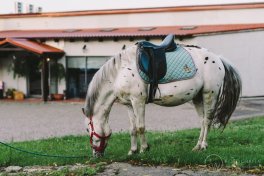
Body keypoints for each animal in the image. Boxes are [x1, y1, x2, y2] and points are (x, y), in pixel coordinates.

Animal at [82, 38, 241, 157]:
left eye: (88, 130)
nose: (96, 155)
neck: (120, 72)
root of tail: (218, 58)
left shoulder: (138, 101)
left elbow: (140, 127)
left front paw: (144, 149)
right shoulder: (128, 104)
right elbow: (132, 128)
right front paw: (132, 151)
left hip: (209, 94)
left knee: (207, 121)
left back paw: (203, 146)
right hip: (197, 97)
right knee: (202, 121)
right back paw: (196, 146)